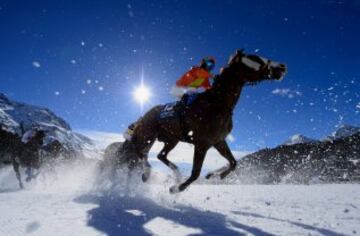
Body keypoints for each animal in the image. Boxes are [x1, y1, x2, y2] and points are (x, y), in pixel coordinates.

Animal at [107, 50, 286, 194]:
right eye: (255, 58)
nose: (282, 66)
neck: (217, 104)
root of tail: (143, 116)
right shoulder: (202, 143)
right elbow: (195, 173)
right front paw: (176, 189)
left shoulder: (218, 140)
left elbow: (233, 162)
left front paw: (214, 175)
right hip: (148, 136)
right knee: (140, 154)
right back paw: (147, 174)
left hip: (171, 139)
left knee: (159, 155)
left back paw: (176, 174)